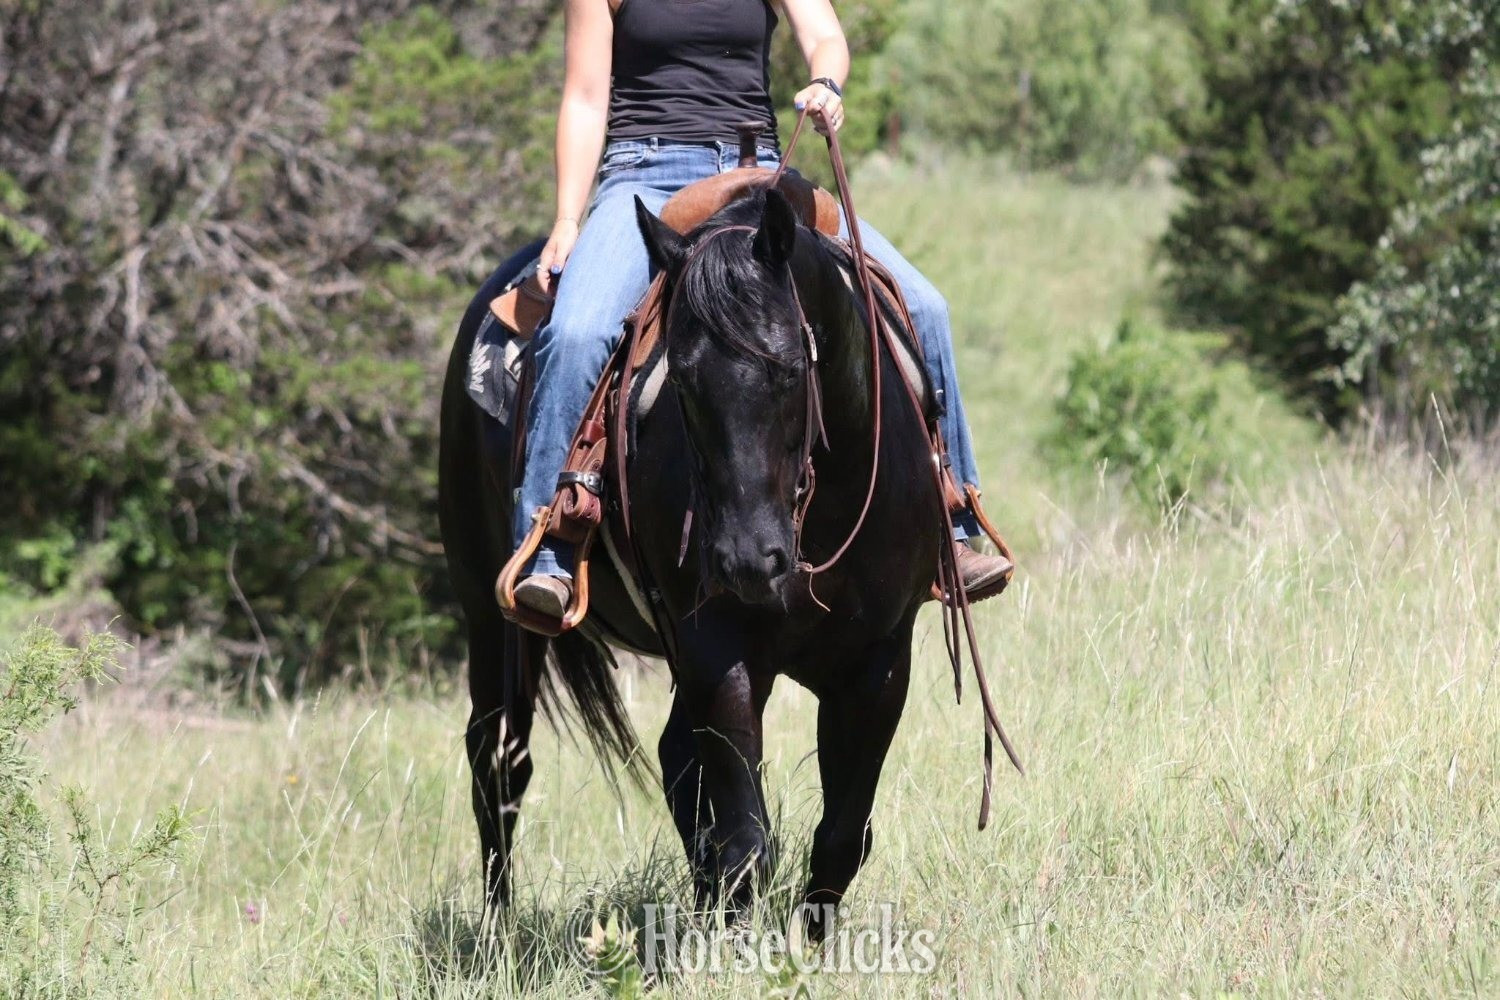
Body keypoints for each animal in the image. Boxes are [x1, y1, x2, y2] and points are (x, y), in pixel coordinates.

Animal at [438, 185, 948, 939]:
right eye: (680, 379)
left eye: (790, 369)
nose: (746, 562)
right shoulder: (717, 650)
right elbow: (745, 840)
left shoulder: (880, 660)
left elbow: (839, 837)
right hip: (493, 622)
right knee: (500, 762)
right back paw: (499, 935)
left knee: (673, 759)